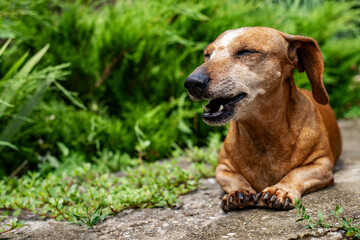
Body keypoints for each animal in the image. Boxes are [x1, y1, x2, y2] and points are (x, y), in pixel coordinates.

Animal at [184, 27, 342, 212]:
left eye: (246, 51)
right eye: (207, 55)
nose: (192, 82)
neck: (262, 134)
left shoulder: (322, 165)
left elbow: (297, 173)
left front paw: (280, 189)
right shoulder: (223, 169)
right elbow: (234, 179)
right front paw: (239, 191)